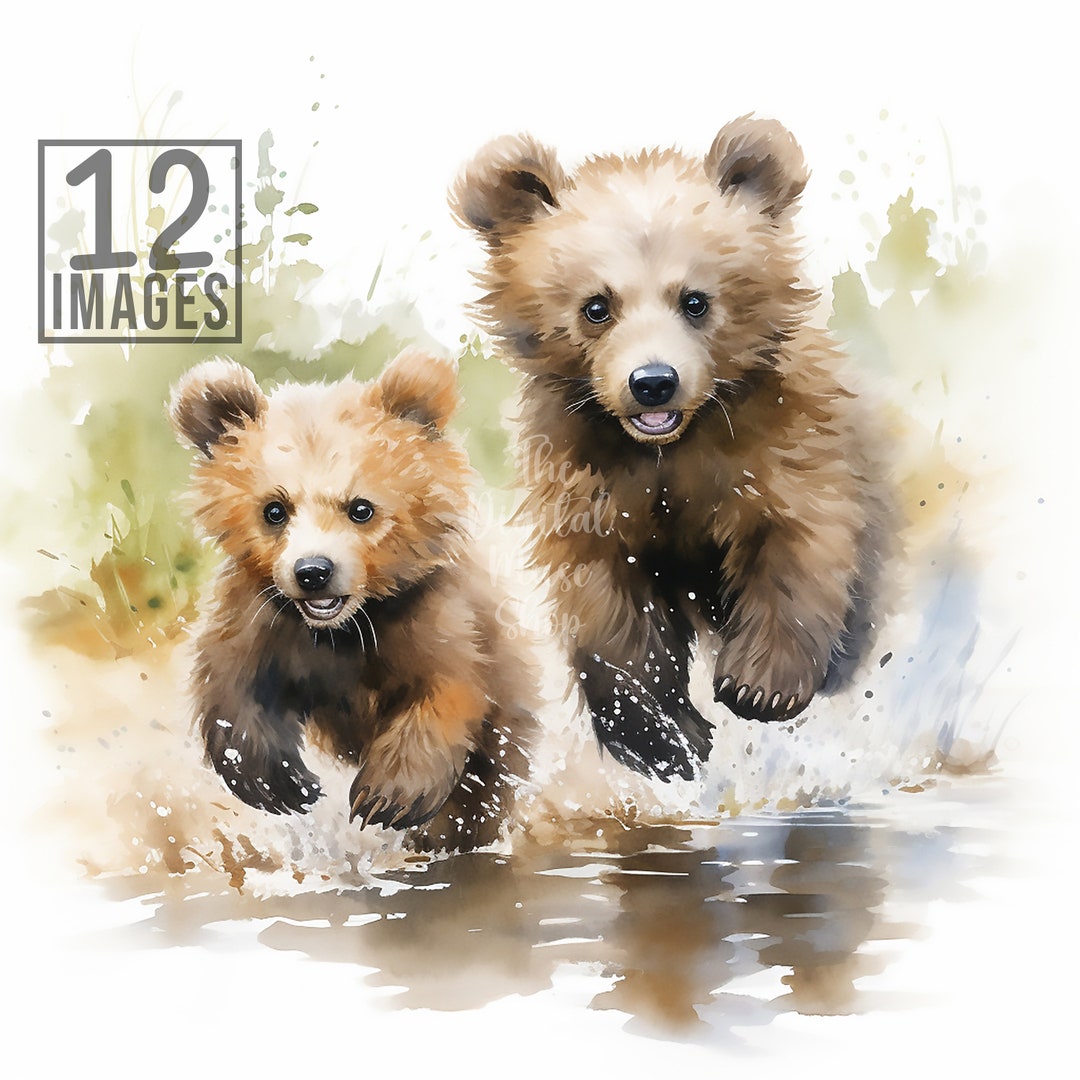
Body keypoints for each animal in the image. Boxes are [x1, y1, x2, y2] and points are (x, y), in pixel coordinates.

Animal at [168, 348, 536, 852]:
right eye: (274, 509)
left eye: (361, 508)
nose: (313, 572)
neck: (345, 626)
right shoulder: (265, 619)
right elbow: (232, 687)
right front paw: (284, 784)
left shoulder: (435, 617)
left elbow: (449, 687)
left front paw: (386, 796)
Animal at [450, 116, 893, 783]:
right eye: (596, 306)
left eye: (695, 300)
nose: (653, 382)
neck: (673, 446)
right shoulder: (589, 480)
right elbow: (607, 606)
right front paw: (665, 737)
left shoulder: (782, 443)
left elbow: (798, 542)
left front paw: (759, 686)